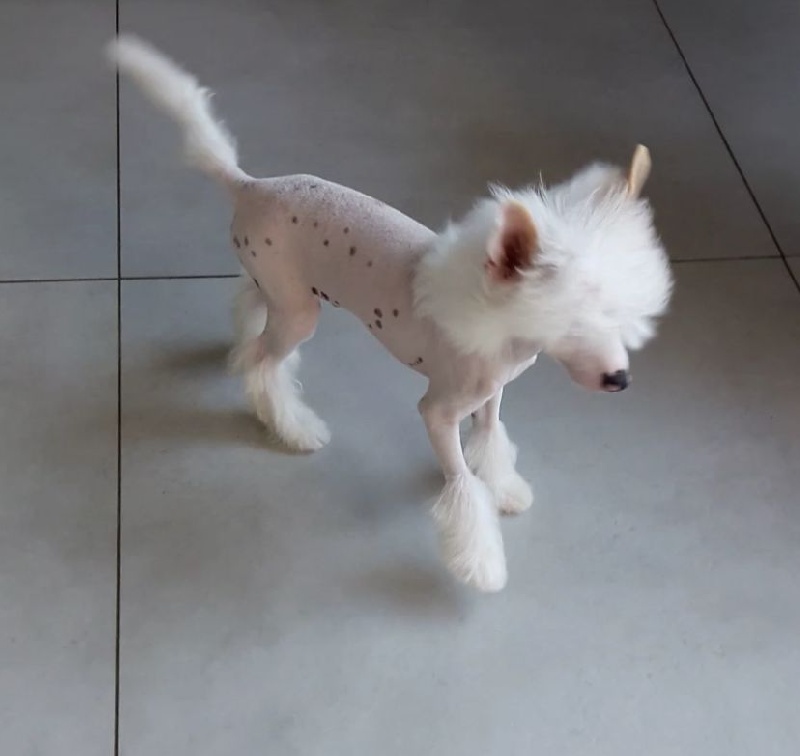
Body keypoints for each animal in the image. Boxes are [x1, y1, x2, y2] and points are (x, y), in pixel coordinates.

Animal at [109, 35, 673, 592]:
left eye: (624, 314)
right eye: (569, 321)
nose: (620, 379)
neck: (498, 327)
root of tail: (251, 184)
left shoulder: (493, 392)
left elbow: (490, 435)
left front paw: (505, 486)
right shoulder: (437, 411)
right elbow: (461, 481)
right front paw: (482, 562)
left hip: (284, 290)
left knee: (251, 308)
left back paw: (247, 350)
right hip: (299, 313)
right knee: (263, 363)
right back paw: (291, 424)